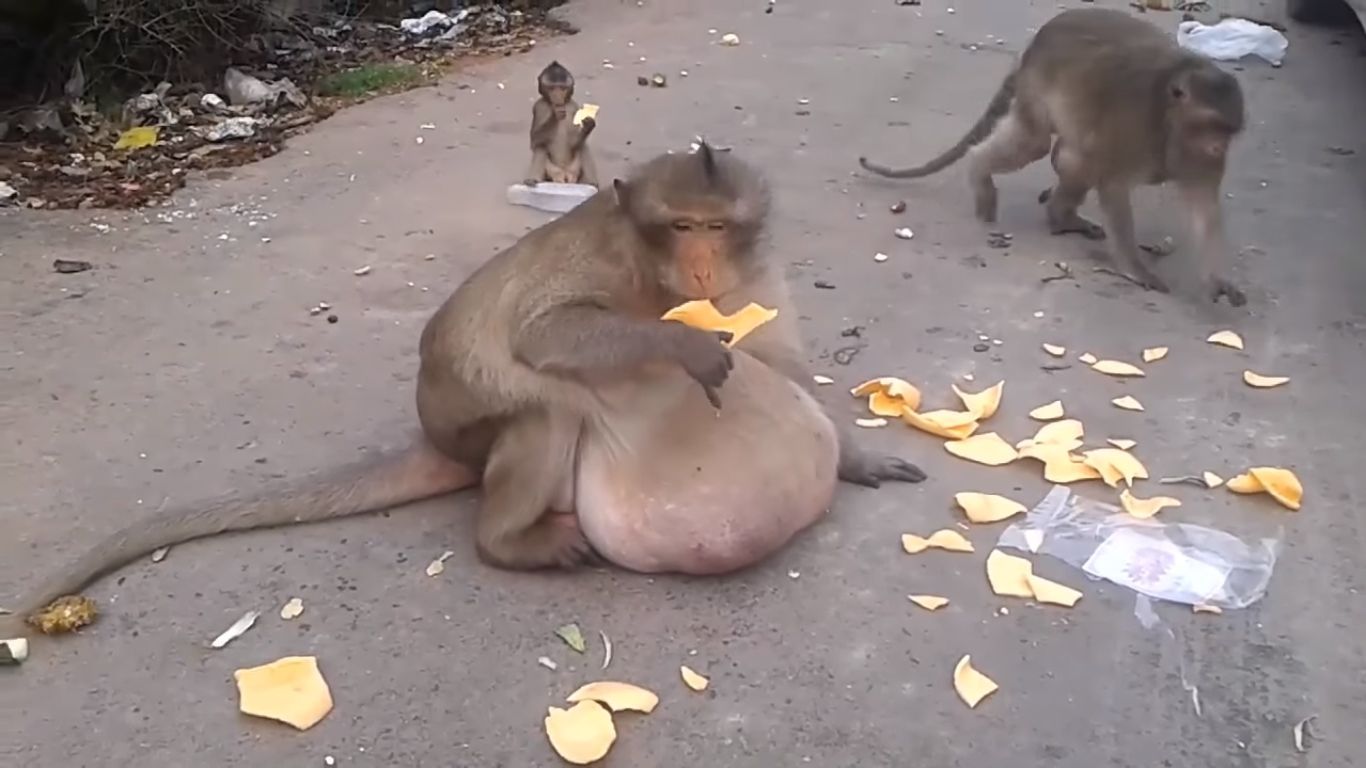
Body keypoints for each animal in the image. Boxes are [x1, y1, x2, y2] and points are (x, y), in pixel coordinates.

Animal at [0, 144, 923, 651]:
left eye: (718, 228)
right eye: (683, 228)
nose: (701, 268)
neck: (658, 276)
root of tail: (437, 437)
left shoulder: (756, 280)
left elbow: (789, 371)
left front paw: (858, 456)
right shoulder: (606, 264)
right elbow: (546, 335)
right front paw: (688, 346)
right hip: (461, 411)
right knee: (547, 404)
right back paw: (509, 541)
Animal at [857, 7, 1248, 307]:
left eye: (1228, 130)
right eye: (1210, 125)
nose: (1218, 147)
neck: (1169, 118)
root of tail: (1036, 42)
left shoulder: (1198, 158)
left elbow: (1203, 206)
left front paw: (1217, 280)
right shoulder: (1133, 124)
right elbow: (1113, 185)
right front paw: (1135, 267)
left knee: (1074, 158)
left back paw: (1062, 217)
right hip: (1037, 84)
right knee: (1039, 144)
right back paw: (981, 174)